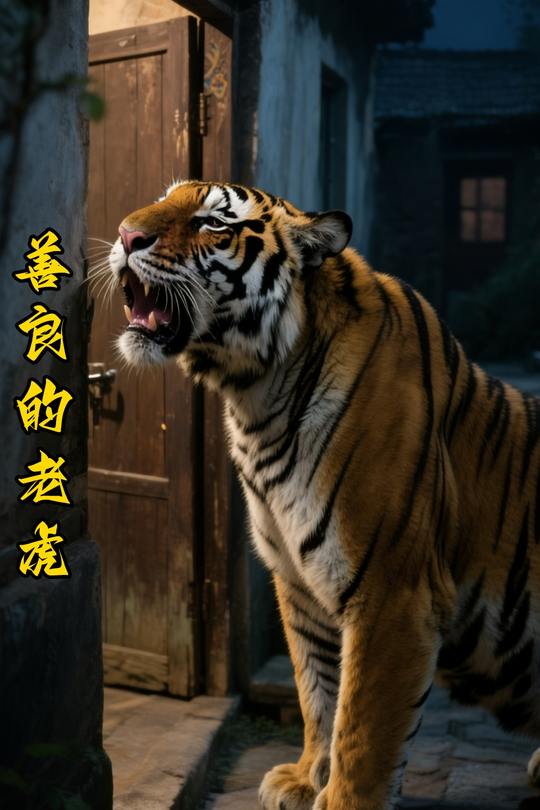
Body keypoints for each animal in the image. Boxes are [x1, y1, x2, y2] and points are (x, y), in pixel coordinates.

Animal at [108, 179, 540, 810]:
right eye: (165, 197)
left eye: (214, 222)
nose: (124, 234)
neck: (257, 398)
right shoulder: (299, 581)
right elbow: (318, 690)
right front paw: (305, 778)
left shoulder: (393, 593)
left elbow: (363, 724)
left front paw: (341, 799)